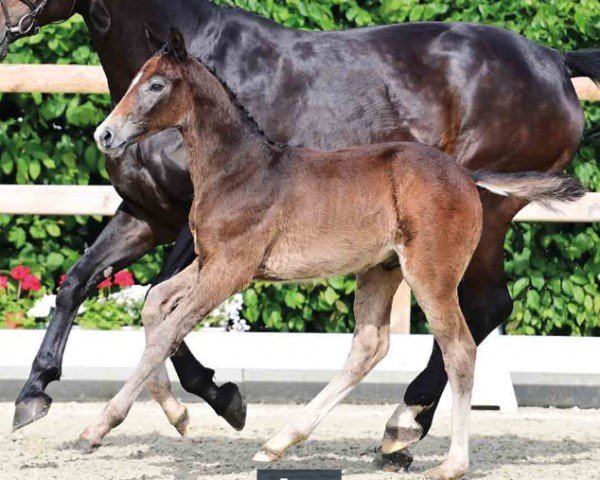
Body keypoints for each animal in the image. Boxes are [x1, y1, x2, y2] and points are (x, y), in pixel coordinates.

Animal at [90, 31, 584, 478]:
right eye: (135, 79)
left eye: (157, 85)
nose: (105, 134)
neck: (239, 170)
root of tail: (466, 175)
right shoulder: (209, 262)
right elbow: (155, 306)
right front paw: (178, 416)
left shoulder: (231, 269)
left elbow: (169, 331)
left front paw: (99, 426)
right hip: (382, 269)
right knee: (369, 346)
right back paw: (280, 443)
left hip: (431, 274)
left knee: (458, 347)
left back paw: (450, 463)